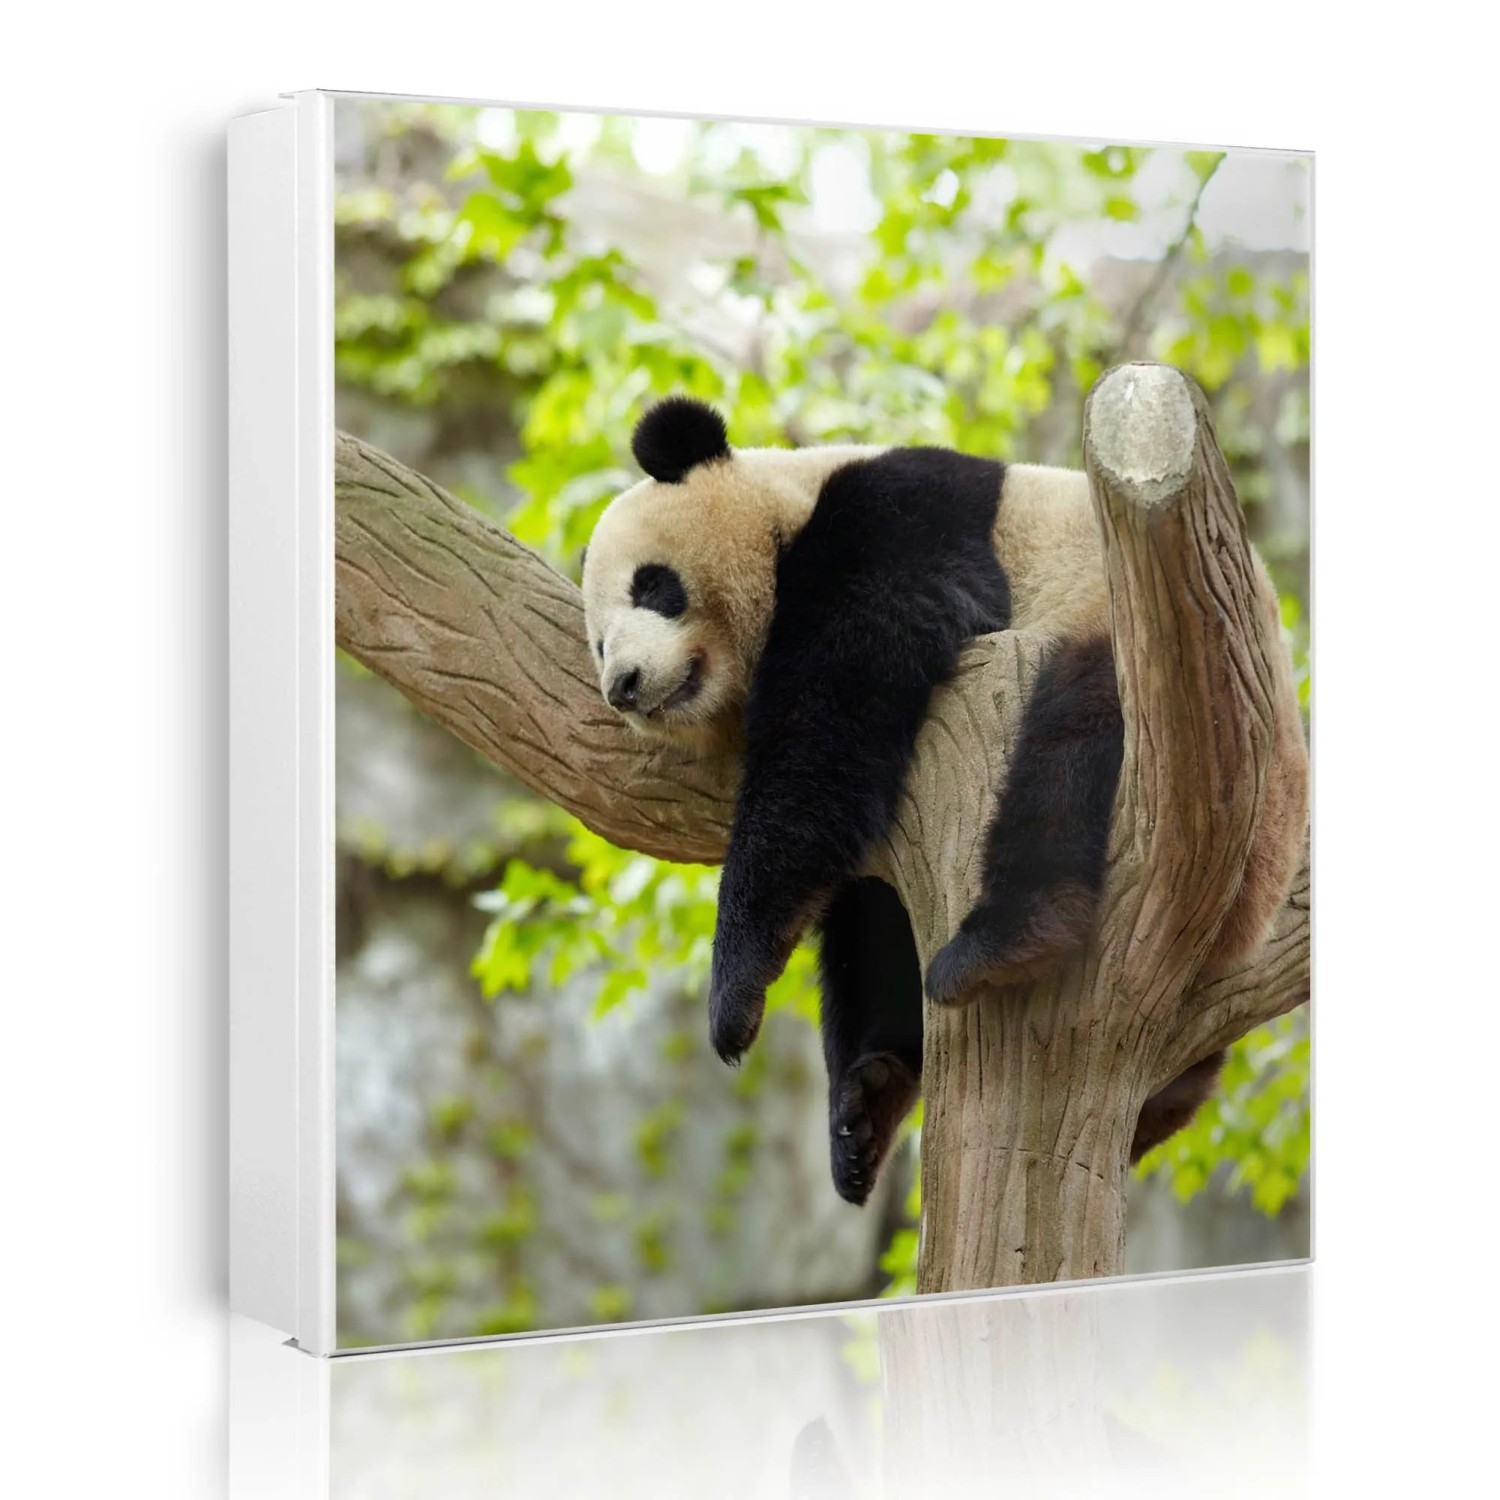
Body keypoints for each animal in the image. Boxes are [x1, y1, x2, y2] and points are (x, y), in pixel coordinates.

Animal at [581, 394, 1307, 1206]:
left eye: (652, 586)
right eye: (599, 645)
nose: (625, 686)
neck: (789, 500)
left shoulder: (900, 519)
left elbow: (837, 698)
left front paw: (734, 993)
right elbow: (864, 908)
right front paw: (859, 1106)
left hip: (1174, 697)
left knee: (1073, 740)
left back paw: (1006, 942)